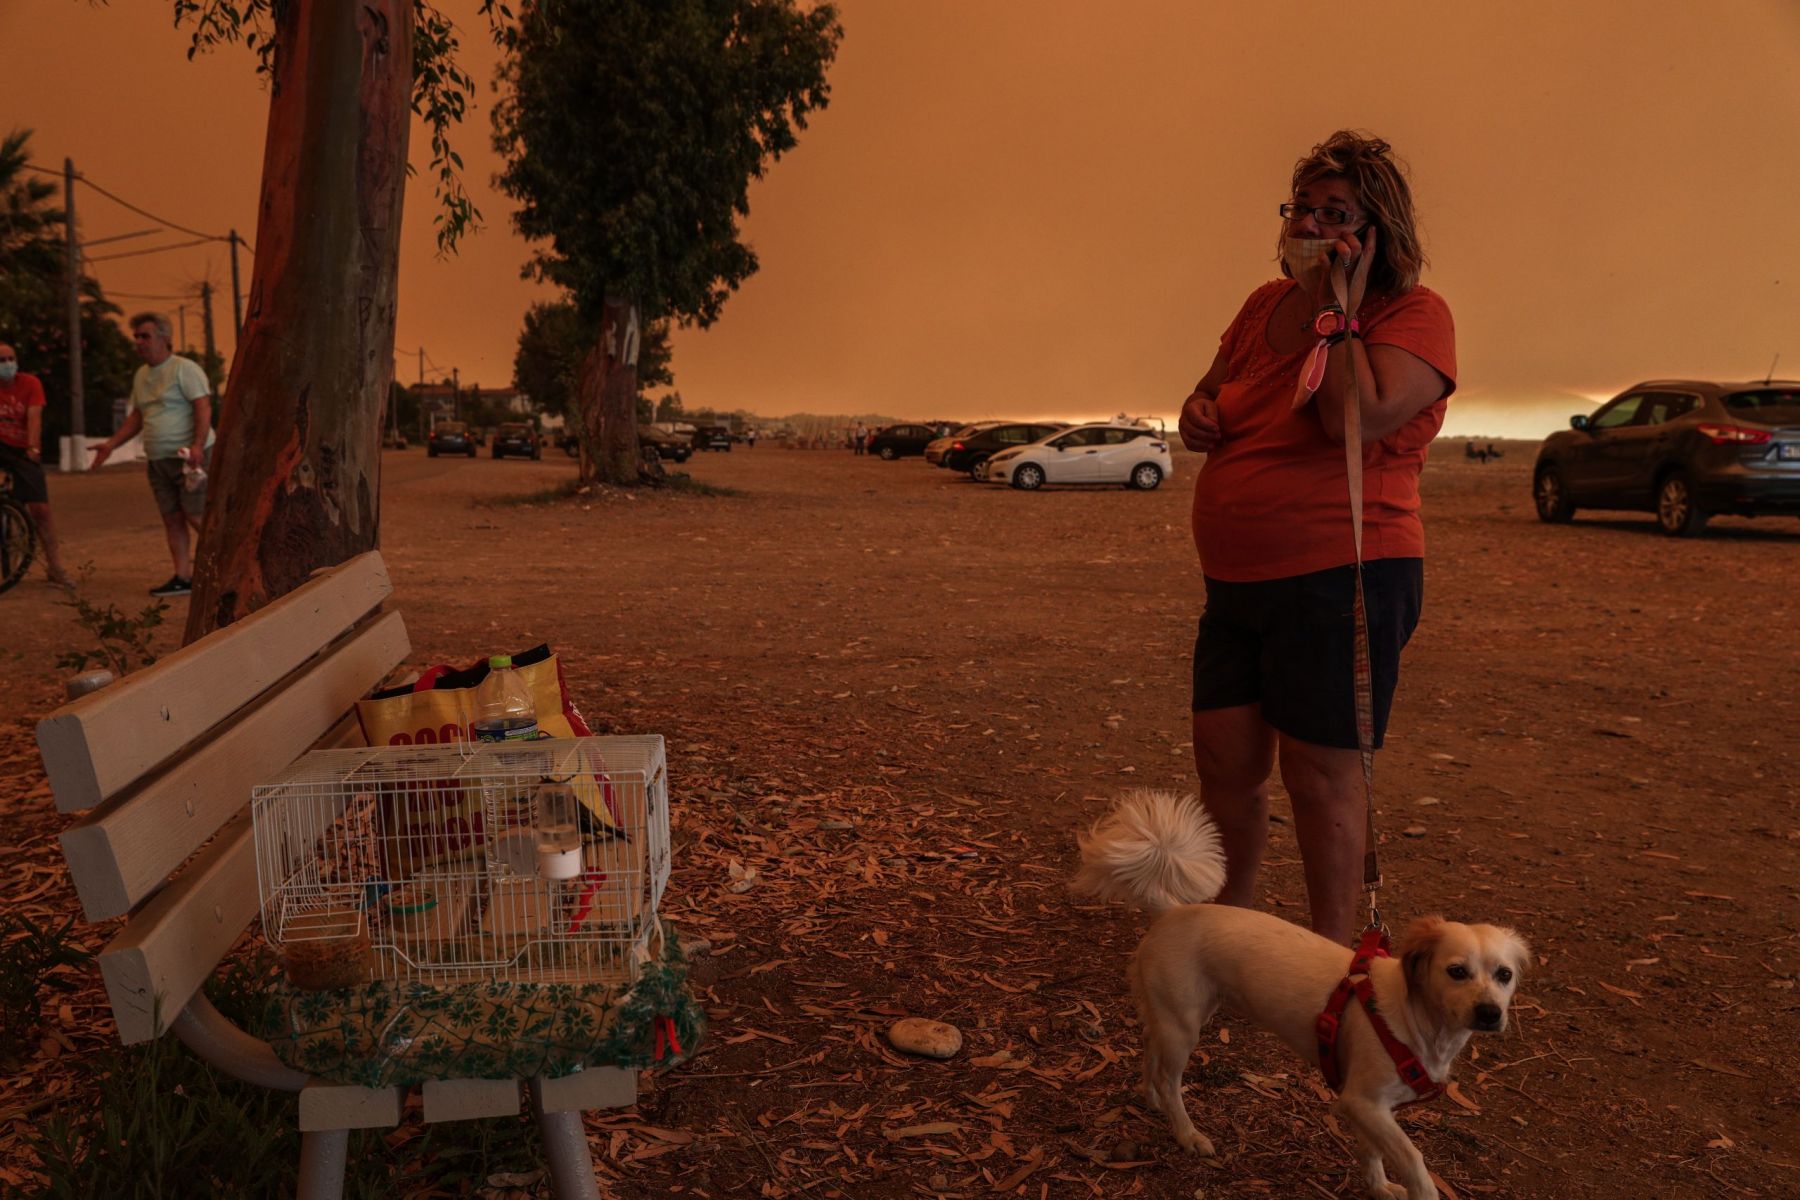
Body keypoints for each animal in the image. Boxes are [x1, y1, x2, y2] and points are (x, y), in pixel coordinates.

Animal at [1072, 791, 1526, 1194]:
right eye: (1456, 971)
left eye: (1504, 975)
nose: (1489, 1013)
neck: (1417, 1024)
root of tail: (1173, 909)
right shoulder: (1362, 1102)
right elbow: (1412, 1158)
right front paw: (1419, 1190)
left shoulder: (1370, 1109)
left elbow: (1373, 1153)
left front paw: (1379, 1187)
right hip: (1183, 1027)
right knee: (1170, 1079)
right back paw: (1187, 1134)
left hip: (1178, 1015)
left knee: (1151, 1051)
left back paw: (1152, 1099)